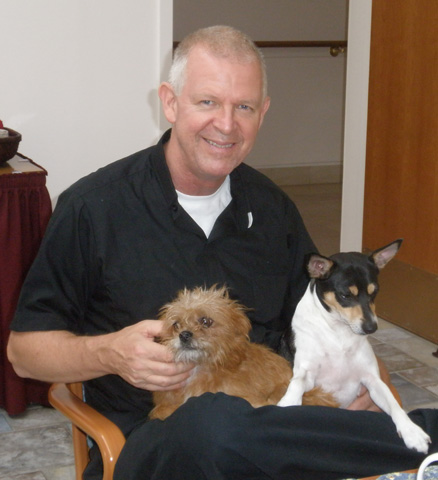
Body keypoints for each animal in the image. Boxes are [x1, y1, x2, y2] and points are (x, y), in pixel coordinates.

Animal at [278, 240, 430, 454]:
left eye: (375, 292)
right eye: (345, 295)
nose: (371, 327)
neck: (339, 335)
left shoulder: (373, 380)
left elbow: (393, 404)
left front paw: (412, 432)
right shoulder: (307, 374)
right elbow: (297, 384)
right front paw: (288, 403)